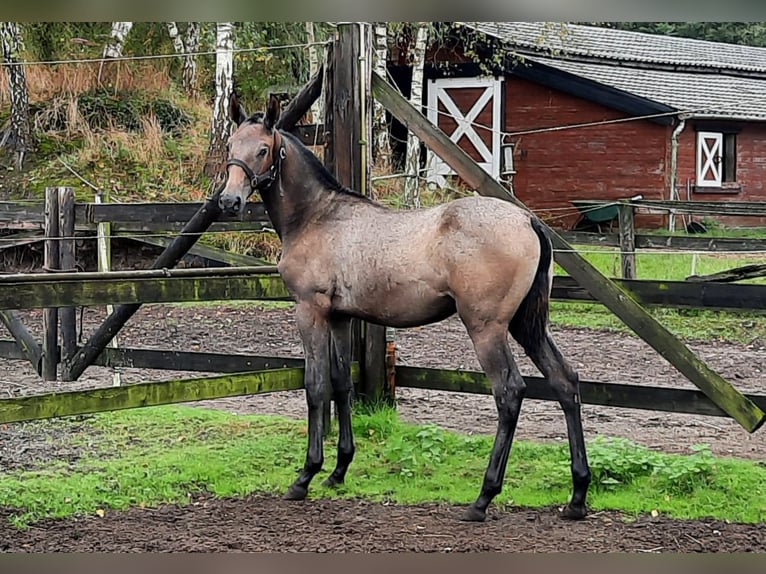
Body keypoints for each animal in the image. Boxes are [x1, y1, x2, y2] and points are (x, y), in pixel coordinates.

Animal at [218, 95, 592, 528]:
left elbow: (315, 385)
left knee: (510, 391)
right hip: (528, 325)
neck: (318, 217)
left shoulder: (310, 310)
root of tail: (528, 219)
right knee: (565, 381)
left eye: (263, 150)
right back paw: (577, 496)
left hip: (488, 328)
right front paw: (339, 470)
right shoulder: (341, 317)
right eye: (230, 146)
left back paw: (483, 498)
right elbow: (342, 383)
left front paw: (305, 476)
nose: (228, 201)